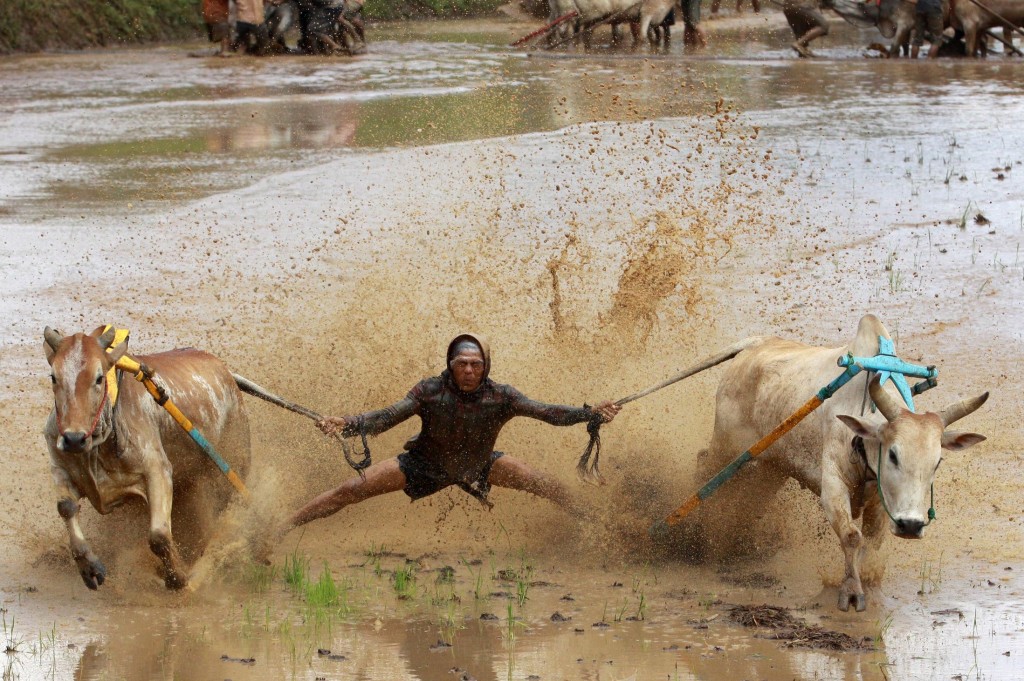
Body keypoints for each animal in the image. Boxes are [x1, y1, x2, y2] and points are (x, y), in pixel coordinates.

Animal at [43, 327, 251, 585]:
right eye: (54, 377)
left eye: (99, 378)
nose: (73, 438)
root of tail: (226, 372)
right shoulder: (59, 468)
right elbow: (66, 507)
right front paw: (90, 567)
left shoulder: (158, 471)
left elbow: (159, 537)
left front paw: (177, 577)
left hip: (234, 465)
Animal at [692, 313, 987, 610]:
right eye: (892, 454)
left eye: (937, 462)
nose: (911, 525)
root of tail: (756, 345)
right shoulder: (833, 485)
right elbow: (851, 537)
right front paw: (851, 590)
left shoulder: (881, 502)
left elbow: (871, 543)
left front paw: (870, 590)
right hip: (727, 447)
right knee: (703, 465)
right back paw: (698, 532)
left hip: (772, 467)